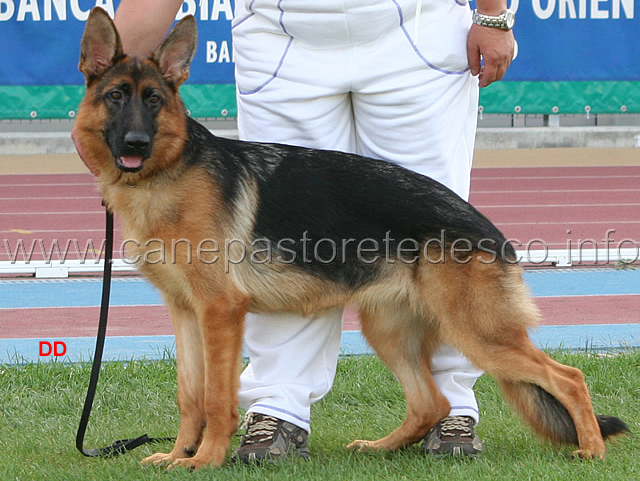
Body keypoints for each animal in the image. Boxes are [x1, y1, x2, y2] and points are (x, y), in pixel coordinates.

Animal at [77, 8, 628, 468]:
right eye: (115, 97)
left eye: (153, 100)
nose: (135, 143)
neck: (166, 174)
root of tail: (490, 230)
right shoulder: (186, 312)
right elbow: (189, 395)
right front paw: (177, 455)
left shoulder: (220, 312)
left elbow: (216, 397)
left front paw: (205, 460)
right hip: (388, 328)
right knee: (431, 402)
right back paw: (381, 448)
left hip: (478, 332)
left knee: (568, 378)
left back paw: (592, 451)